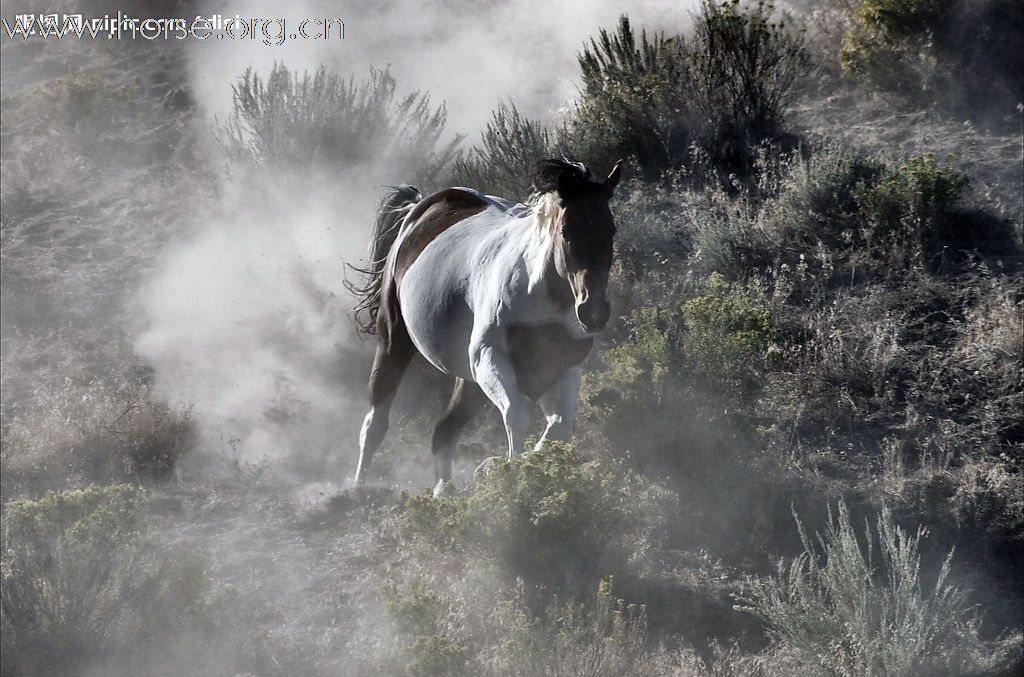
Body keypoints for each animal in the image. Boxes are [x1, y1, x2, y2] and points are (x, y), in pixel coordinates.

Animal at [350, 156, 622, 491]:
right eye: (568, 231)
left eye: (611, 230)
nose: (593, 313)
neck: (542, 295)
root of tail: (420, 207)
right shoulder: (490, 356)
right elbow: (517, 416)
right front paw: (511, 474)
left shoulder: (559, 370)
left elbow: (558, 428)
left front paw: (501, 468)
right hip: (395, 340)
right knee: (375, 422)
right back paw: (358, 490)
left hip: (469, 380)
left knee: (443, 432)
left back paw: (443, 493)